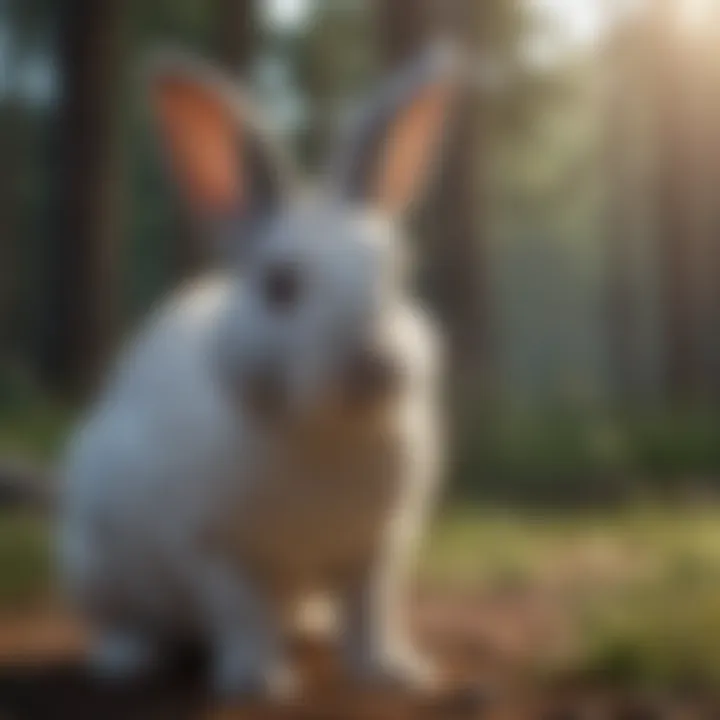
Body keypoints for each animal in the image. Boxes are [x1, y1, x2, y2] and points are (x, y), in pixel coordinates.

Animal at [59, 42, 458, 700]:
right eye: (279, 285)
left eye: (397, 273)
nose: (376, 365)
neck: (324, 433)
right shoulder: (217, 550)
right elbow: (244, 615)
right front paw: (259, 682)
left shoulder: (377, 550)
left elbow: (371, 613)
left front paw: (396, 674)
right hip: (92, 561)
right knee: (122, 620)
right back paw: (127, 660)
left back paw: (313, 631)